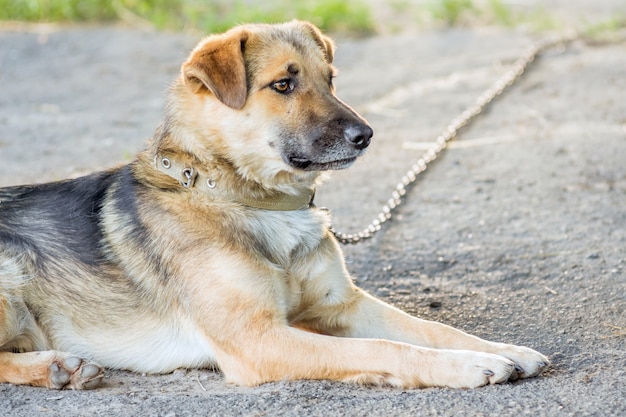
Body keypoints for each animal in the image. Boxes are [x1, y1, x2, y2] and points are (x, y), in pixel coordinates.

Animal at [0, 21, 544, 388]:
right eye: (283, 84)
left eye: (331, 79)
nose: (366, 135)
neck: (251, 199)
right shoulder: (259, 340)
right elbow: (385, 346)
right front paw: (470, 365)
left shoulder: (341, 305)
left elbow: (428, 327)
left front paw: (501, 349)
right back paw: (56, 367)